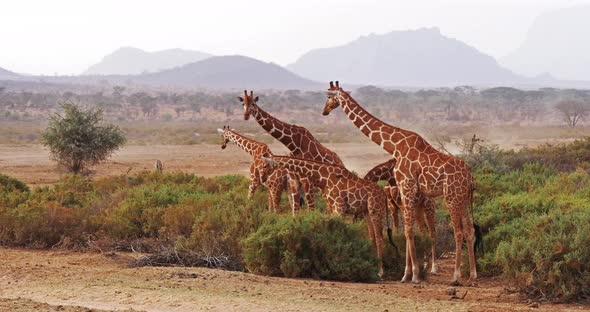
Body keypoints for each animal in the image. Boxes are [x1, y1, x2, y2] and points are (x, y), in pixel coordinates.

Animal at [262, 155, 394, 276]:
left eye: (265, 165)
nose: (264, 179)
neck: (323, 177)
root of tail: (384, 195)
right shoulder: (332, 207)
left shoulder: (339, 207)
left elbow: (341, 234)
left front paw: (340, 265)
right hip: (366, 212)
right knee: (371, 236)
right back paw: (372, 264)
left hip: (375, 210)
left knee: (379, 238)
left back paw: (380, 271)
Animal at [322, 81, 478, 286]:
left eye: (329, 97)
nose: (324, 111)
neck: (394, 146)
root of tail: (470, 176)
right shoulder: (405, 192)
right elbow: (406, 231)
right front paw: (407, 274)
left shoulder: (407, 186)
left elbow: (408, 231)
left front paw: (414, 275)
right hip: (464, 198)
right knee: (470, 230)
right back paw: (473, 276)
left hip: (451, 196)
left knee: (458, 232)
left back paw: (456, 276)